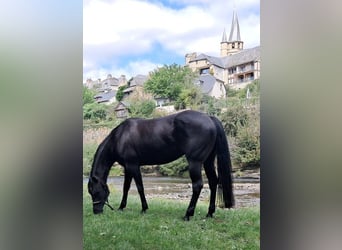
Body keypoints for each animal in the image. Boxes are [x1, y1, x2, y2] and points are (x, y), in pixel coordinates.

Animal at [87, 110, 234, 220]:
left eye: (95, 192)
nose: (96, 211)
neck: (119, 137)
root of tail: (209, 118)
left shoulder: (133, 166)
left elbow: (140, 187)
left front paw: (144, 208)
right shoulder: (127, 168)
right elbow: (126, 188)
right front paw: (121, 207)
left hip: (195, 162)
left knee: (197, 185)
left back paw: (188, 214)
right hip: (208, 161)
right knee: (213, 182)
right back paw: (209, 213)